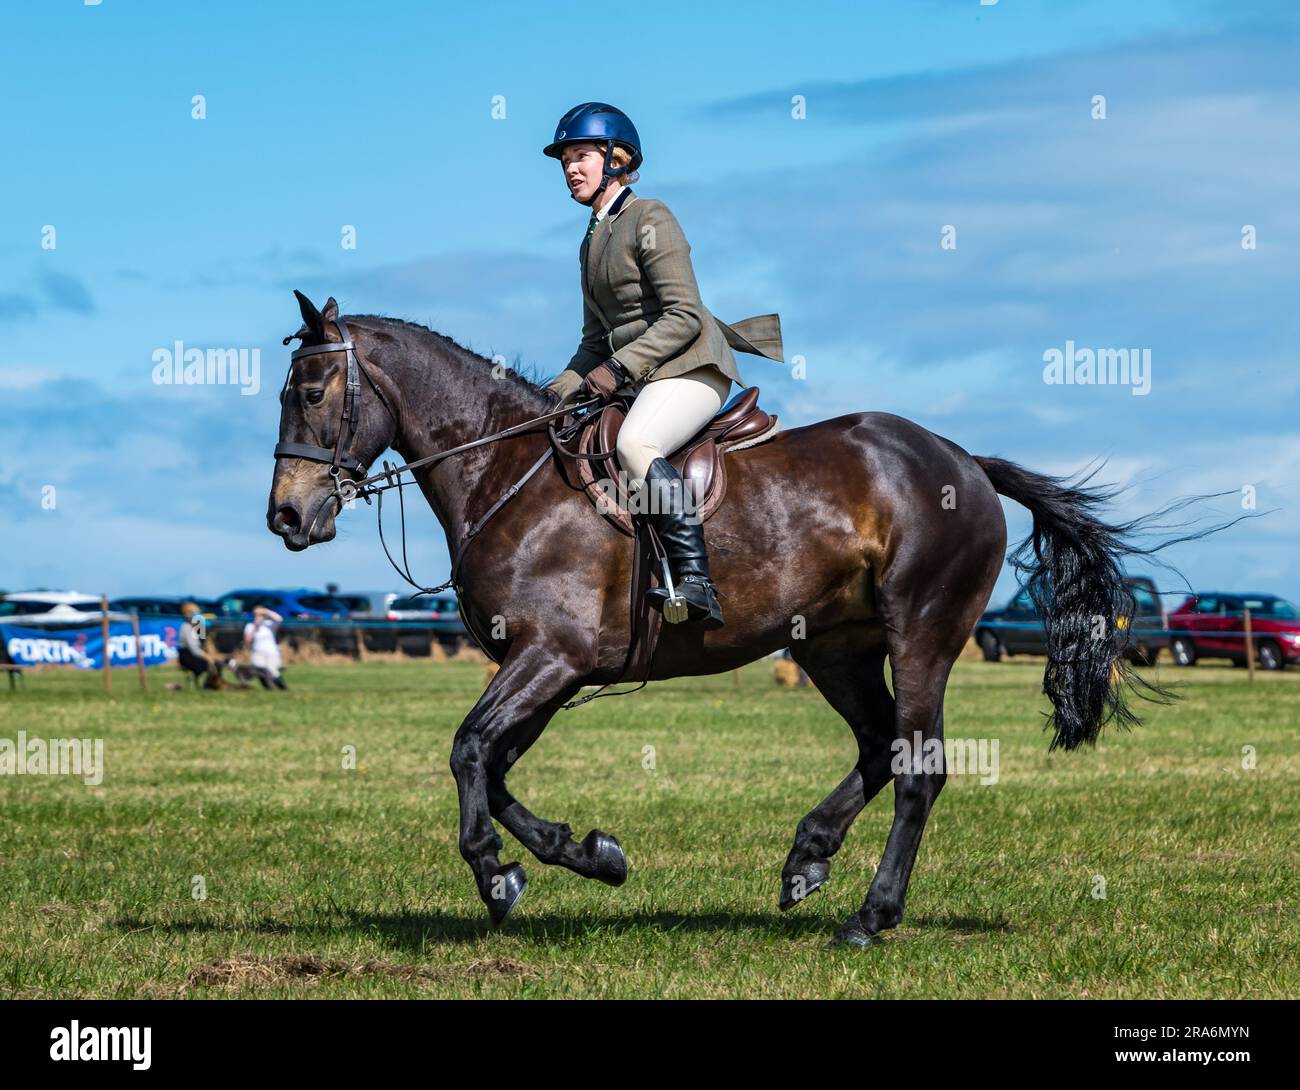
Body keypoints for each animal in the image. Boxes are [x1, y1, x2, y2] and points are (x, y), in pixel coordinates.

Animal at [268, 290, 1172, 947]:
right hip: (834, 647)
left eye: (310, 393)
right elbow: (493, 767)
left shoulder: (551, 657)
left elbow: (468, 752)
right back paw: (807, 858)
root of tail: (963, 462)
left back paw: (869, 917)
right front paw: (591, 856)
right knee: (878, 744)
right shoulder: (545, 668)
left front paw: (497, 877)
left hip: (922, 634)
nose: (286, 516)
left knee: (919, 766)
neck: (507, 471)